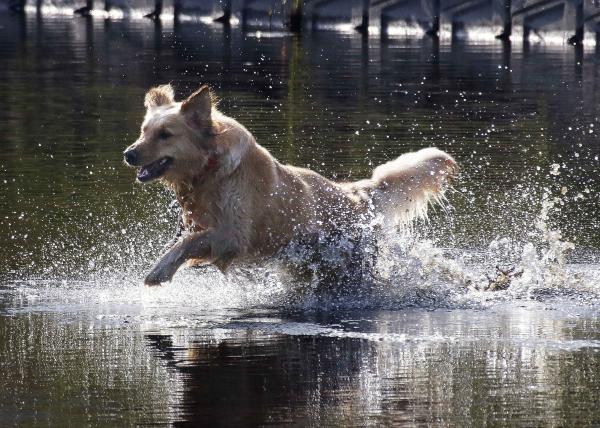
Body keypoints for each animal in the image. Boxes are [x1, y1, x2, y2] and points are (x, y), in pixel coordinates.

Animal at [124, 84, 458, 284]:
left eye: (165, 134)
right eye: (143, 131)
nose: (129, 154)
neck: (210, 171)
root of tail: (357, 192)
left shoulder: (233, 235)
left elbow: (188, 242)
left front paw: (159, 270)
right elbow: (188, 238)